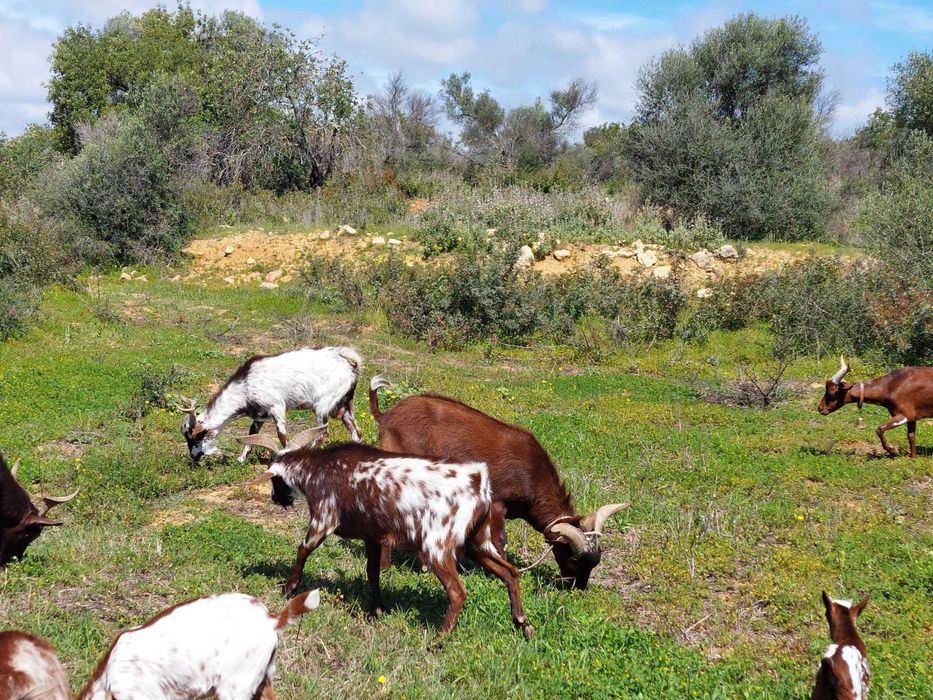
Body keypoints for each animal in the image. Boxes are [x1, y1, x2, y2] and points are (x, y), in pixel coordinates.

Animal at [179, 346, 364, 463]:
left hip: (322, 406)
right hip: (343, 405)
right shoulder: (259, 416)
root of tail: (348, 362)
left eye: (195, 437)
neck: (245, 386)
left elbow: (282, 436)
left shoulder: (277, 408)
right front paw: (241, 459)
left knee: (322, 433)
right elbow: (251, 435)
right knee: (356, 431)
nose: (194, 457)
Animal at [236, 426, 535, 639]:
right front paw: (376, 611)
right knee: (510, 572)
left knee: (458, 591)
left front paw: (289, 588)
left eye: (274, 477)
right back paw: (523, 625)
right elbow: (372, 571)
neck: (319, 469)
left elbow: (303, 550)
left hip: (437, 545)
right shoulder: (372, 535)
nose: (278, 499)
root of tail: (479, 480)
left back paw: (439, 639)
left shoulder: (323, 517)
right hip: (477, 541)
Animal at [369, 377, 628, 589]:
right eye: (573, 558)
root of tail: (387, 415)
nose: (578, 588)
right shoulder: (496, 503)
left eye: (596, 561)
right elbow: (500, 540)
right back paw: (387, 567)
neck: (533, 475)